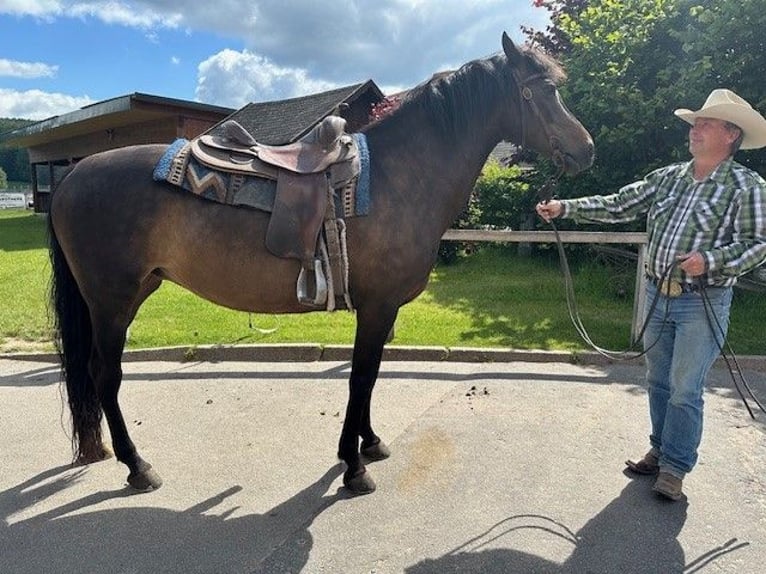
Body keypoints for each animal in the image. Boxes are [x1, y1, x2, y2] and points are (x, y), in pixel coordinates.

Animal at [48, 32, 594, 495]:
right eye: (541, 92)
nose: (586, 149)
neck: (401, 176)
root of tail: (72, 176)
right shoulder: (377, 307)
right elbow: (360, 377)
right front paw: (353, 467)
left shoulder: (382, 310)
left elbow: (369, 375)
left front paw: (369, 444)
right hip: (112, 300)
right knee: (105, 374)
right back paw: (138, 466)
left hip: (134, 291)